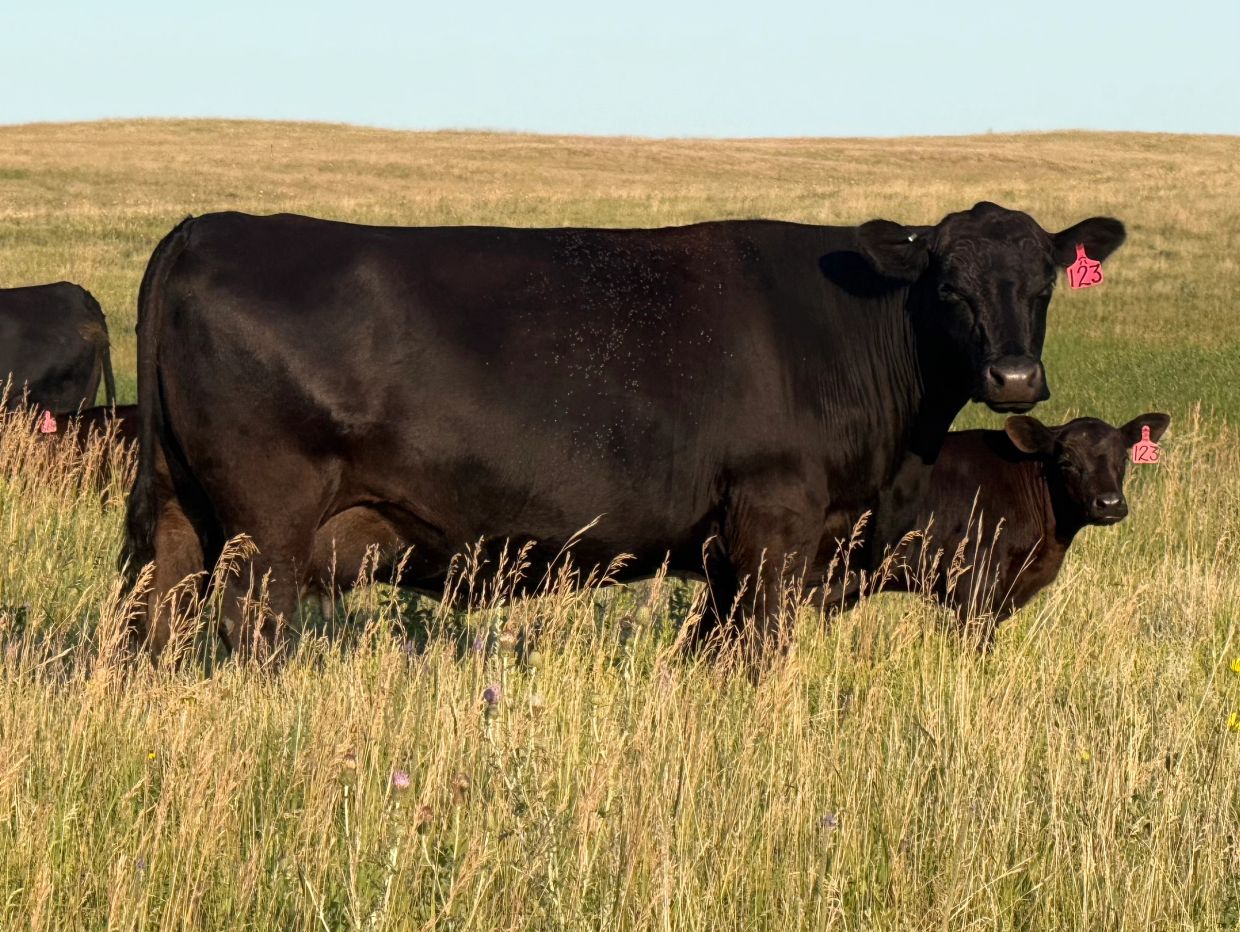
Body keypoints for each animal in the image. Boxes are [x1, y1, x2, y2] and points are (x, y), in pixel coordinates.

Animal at [122, 203, 1126, 666]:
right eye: (949, 285)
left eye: (1044, 280)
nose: (1014, 378)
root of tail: (208, 227)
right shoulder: (776, 520)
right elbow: (760, 648)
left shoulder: (729, 549)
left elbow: (714, 651)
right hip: (270, 520)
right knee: (247, 625)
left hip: (175, 507)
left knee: (153, 616)